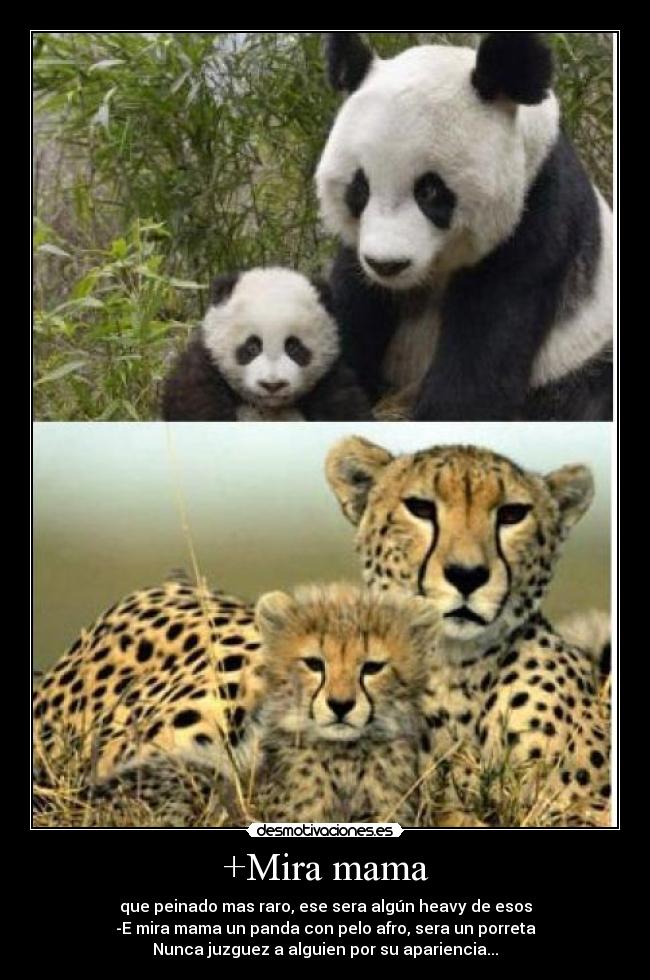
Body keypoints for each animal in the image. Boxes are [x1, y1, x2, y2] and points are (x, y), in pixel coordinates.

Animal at [161, 267, 372, 421]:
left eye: (294, 347)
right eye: (252, 347)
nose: (273, 385)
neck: (269, 407)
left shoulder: (330, 380)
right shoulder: (205, 369)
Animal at [316, 32, 613, 421]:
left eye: (429, 190)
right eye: (360, 188)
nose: (387, 265)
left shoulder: (536, 221)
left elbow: (483, 353)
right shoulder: (358, 254)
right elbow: (349, 309)